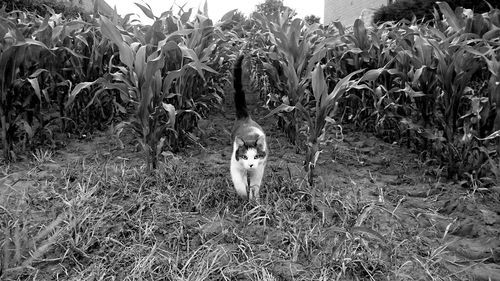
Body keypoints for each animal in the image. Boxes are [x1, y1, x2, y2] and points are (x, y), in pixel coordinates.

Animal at [231, 54, 270, 199]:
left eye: (256, 157)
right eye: (245, 157)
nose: (251, 164)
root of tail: (246, 118)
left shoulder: (260, 167)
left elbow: (255, 185)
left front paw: (254, 199)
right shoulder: (235, 164)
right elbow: (239, 184)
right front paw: (243, 195)